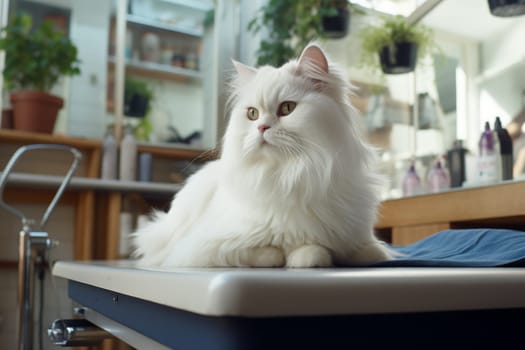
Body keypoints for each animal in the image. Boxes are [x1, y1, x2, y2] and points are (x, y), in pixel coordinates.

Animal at [133, 44, 390, 268]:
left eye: (287, 108)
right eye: (252, 114)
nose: (261, 128)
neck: (291, 174)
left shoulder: (361, 240)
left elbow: (363, 251)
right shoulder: (203, 247)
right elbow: (270, 251)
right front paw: (297, 254)